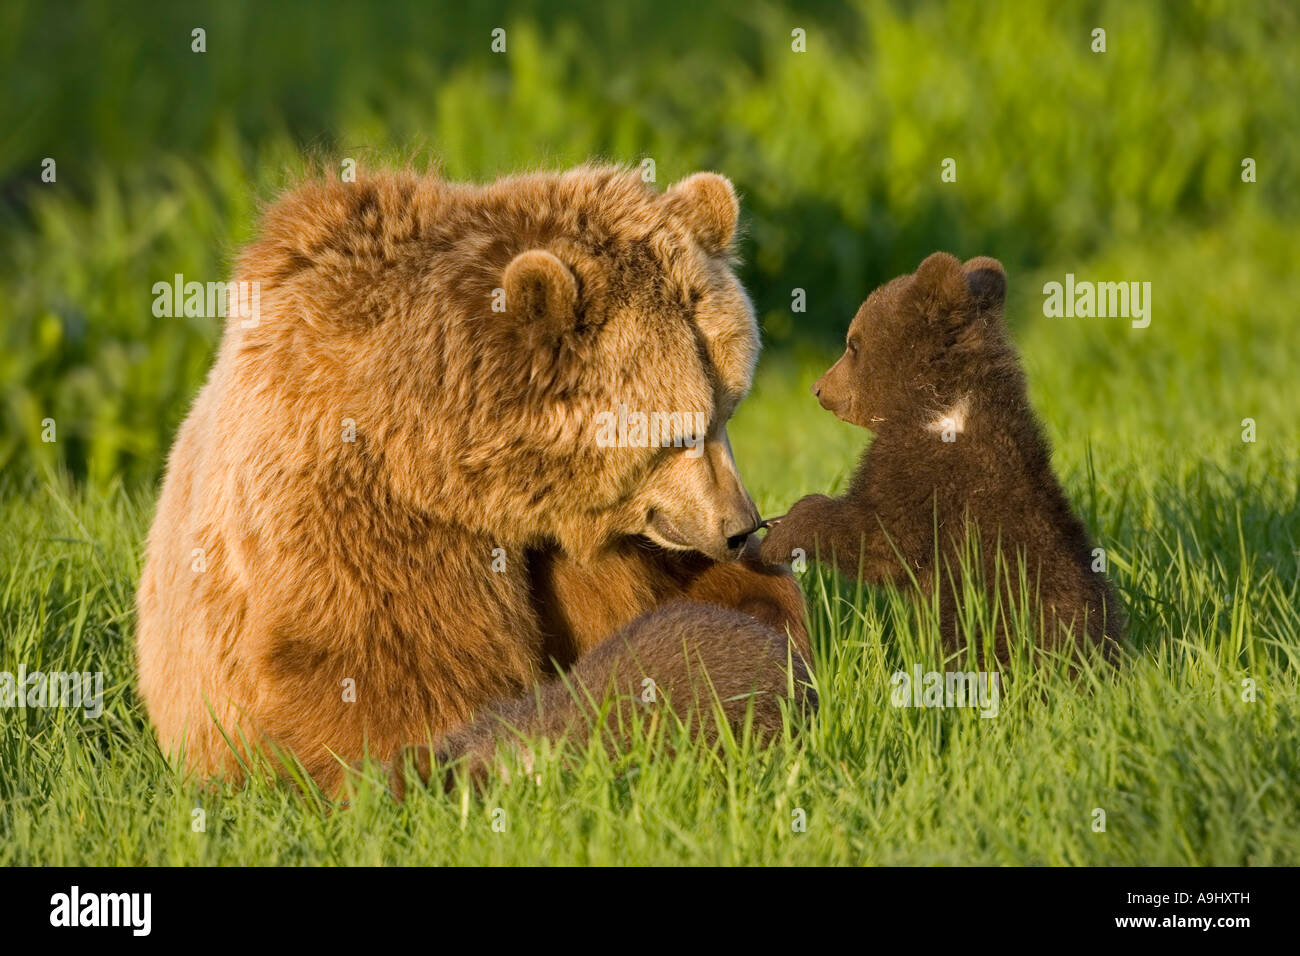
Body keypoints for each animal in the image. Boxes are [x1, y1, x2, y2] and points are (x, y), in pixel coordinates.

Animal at [760, 252, 1124, 662]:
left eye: (853, 345)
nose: (818, 388)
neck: (941, 408)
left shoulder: (932, 476)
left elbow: (880, 537)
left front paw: (785, 529)